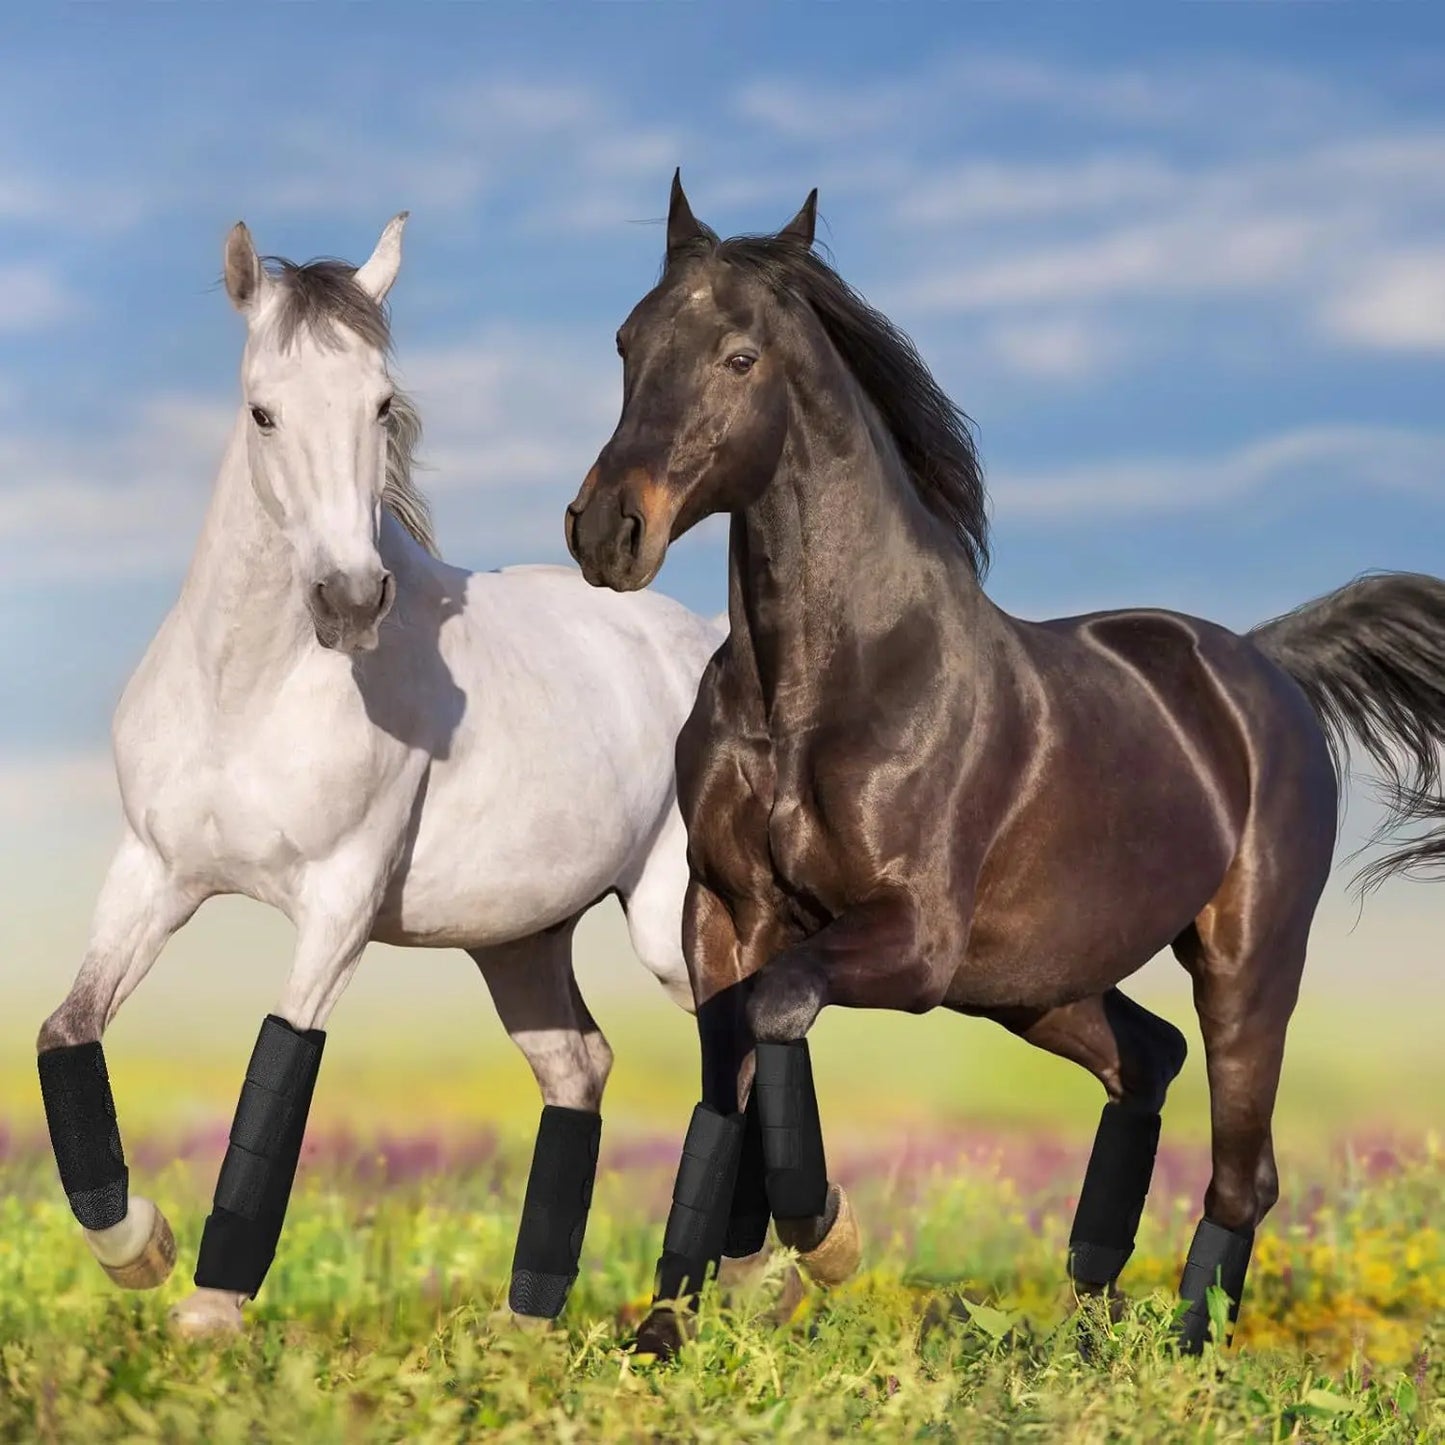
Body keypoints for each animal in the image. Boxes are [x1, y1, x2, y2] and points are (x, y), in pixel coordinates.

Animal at [34, 214, 725, 1338]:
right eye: (262, 409)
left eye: (381, 404)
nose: (351, 599)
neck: (248, 692)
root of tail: (705, 637)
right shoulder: (154, 873)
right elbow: (67, 1030)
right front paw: (140, 1245)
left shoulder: (338, 903)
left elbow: (279, 1059)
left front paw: (209, 1306)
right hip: (518, 941)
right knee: (580, 1066)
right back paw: (530, 1323)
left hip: (673, 925)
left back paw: (749, 1281)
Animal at [564, 173, 1445, 1360]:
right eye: (627, 340)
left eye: (739, 356)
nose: (605, 530)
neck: (822, 686)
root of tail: (1264, 664)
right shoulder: (728, 914)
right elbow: (723, 1084)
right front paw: (668, 1327)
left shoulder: (911, 937)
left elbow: (779, 1011)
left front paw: (820, 1232)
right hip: (1030, 982)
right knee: (1145, 1059)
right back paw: (1086, 1328)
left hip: (1244, 960)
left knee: (1242, 1171)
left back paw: (1180, 1352)